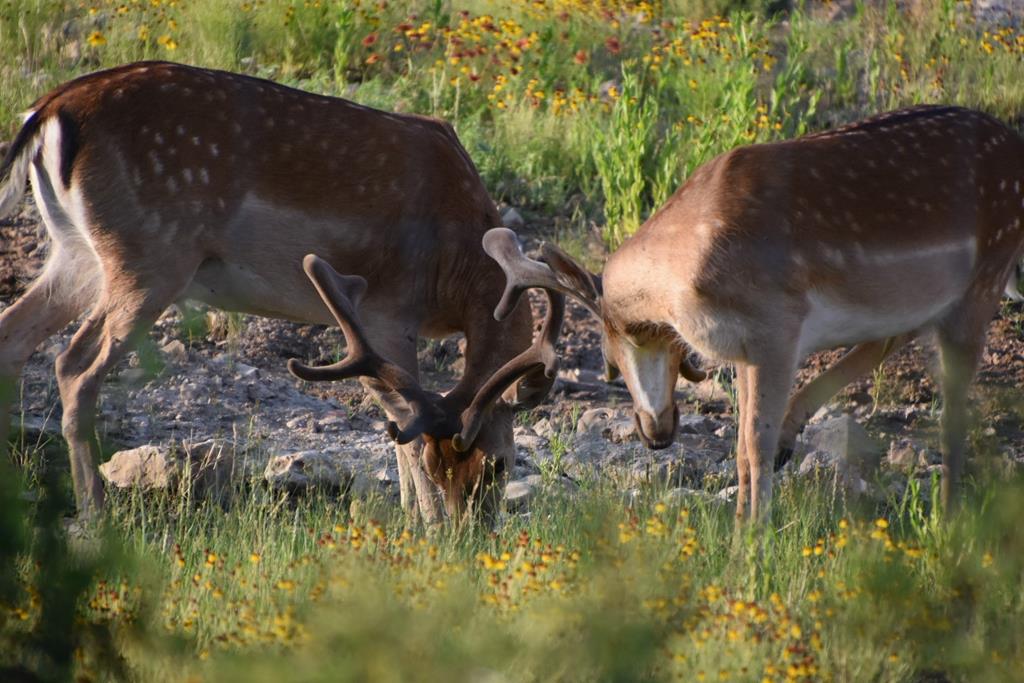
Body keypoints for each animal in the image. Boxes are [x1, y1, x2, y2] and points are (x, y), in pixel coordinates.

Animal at [0, 62, 561, 524]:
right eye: (501, 463)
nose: (472, 534)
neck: (457, 266)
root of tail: (48, 111)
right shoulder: (387, 309)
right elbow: (403, 425)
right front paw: (425, 525)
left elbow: (395, 423)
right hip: (148, 257)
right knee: (74, 367)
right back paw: (96, 518)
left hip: (76, 256)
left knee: (15, 336)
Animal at [483, 105, 1024, 518]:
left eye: (610, 356)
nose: (652, 434)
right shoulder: (744, 349)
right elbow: (742, 449)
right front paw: (741, 524)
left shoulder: (777, 330)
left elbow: (755, 448)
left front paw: (756, 543)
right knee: (903, 337)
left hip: (984, 280)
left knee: (953, 418)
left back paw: (948, 524)